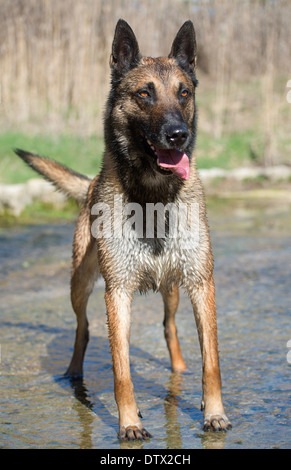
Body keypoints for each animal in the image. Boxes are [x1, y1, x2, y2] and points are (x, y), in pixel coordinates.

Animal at [14, 20, 233, 440]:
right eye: (144, 93)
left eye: (183, 92)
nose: (178, 135)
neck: (154, 195)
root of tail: (90, 185)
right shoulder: (117, 293)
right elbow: (121, 371)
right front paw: (129, 422)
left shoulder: (201, 283)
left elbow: (211, 360)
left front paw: (214, 413)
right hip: (81, 284)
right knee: (82, 329)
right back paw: (74, 373)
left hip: (172, 289)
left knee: (168, 326)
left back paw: (178, 370)